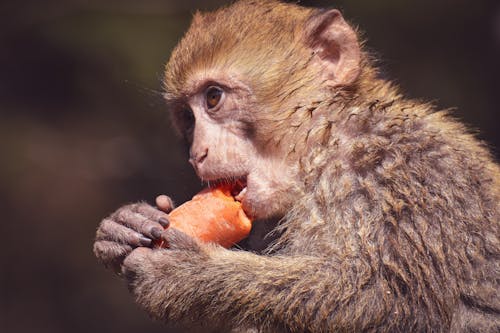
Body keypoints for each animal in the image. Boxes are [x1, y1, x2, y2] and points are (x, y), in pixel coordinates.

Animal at [94, 1, 500, 330]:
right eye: (186, 119)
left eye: (213, 98)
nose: (197, 153)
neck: (326, 147)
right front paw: (126, 225)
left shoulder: (404, 172)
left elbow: (390, 303)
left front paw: (187, 276)